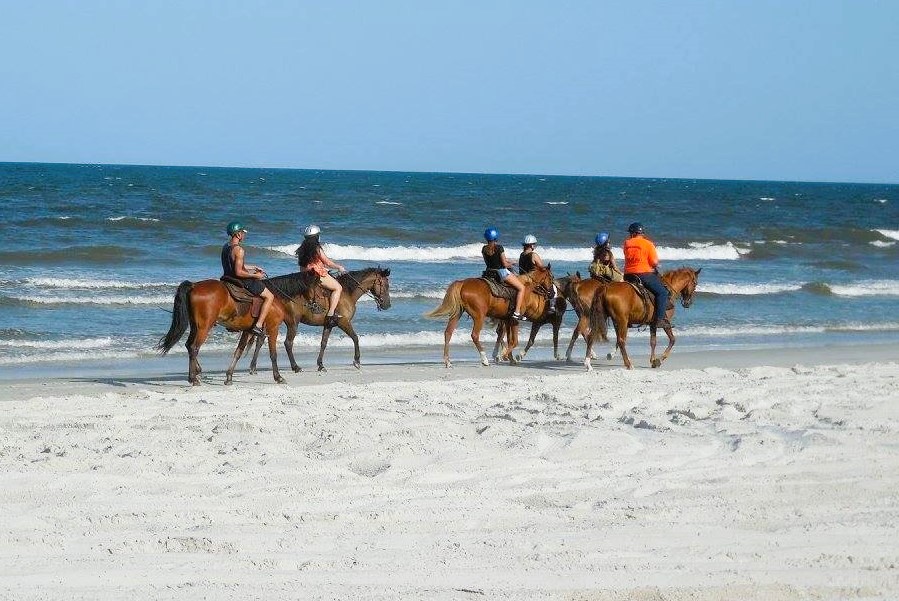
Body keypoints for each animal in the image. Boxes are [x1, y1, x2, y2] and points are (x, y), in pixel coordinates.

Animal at [155, 272, 310, 384]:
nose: (313, 307)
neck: (275, 300)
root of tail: (193, 285)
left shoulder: (247, 331)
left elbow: (238, 352)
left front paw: (229, 377)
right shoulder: (273, 329)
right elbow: (273, 354)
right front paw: (278, 377)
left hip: (196, 327)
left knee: (188, 345)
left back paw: (195, 373)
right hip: (204, 327)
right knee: (194, 348)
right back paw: (193, 378)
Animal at [246, 266, 390, 370]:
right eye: (386, 285)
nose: (387, 305)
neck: (346, 292)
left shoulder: (329, 325)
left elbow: (323, 343)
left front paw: (320, 365)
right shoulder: (343, 322)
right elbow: (355, 338)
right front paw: (357, 361)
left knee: (260, 340)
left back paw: (253, 367)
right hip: (293, 323)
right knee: (288, 343)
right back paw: (295, 366)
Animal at [424, 264, 556, 368]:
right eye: (551, 278)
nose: (552, 293)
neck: (526, 287)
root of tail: (462, 283)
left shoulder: (507, 320)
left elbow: (509, 340)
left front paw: (510, 358)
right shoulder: (514, 320)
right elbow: (514, 341)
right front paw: (503, 356)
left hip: (457, 313)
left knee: (448, 333)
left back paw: (448, 361)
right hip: (479, 316)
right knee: (474, 335)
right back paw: (484, 359)